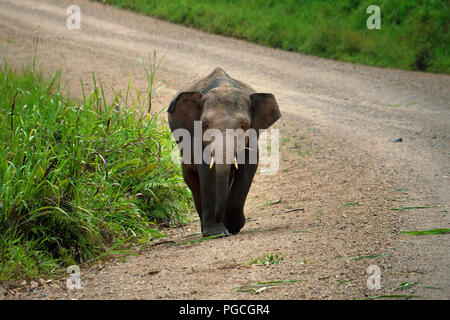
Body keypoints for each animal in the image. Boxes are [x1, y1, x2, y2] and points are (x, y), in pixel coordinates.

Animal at [168, 67, 282, 238]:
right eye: (205, 125)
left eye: (243, 125)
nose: (218, 217)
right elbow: (207, 173)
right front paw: (216, 233)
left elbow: (247, 171)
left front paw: (233, 227)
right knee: (192, 181)